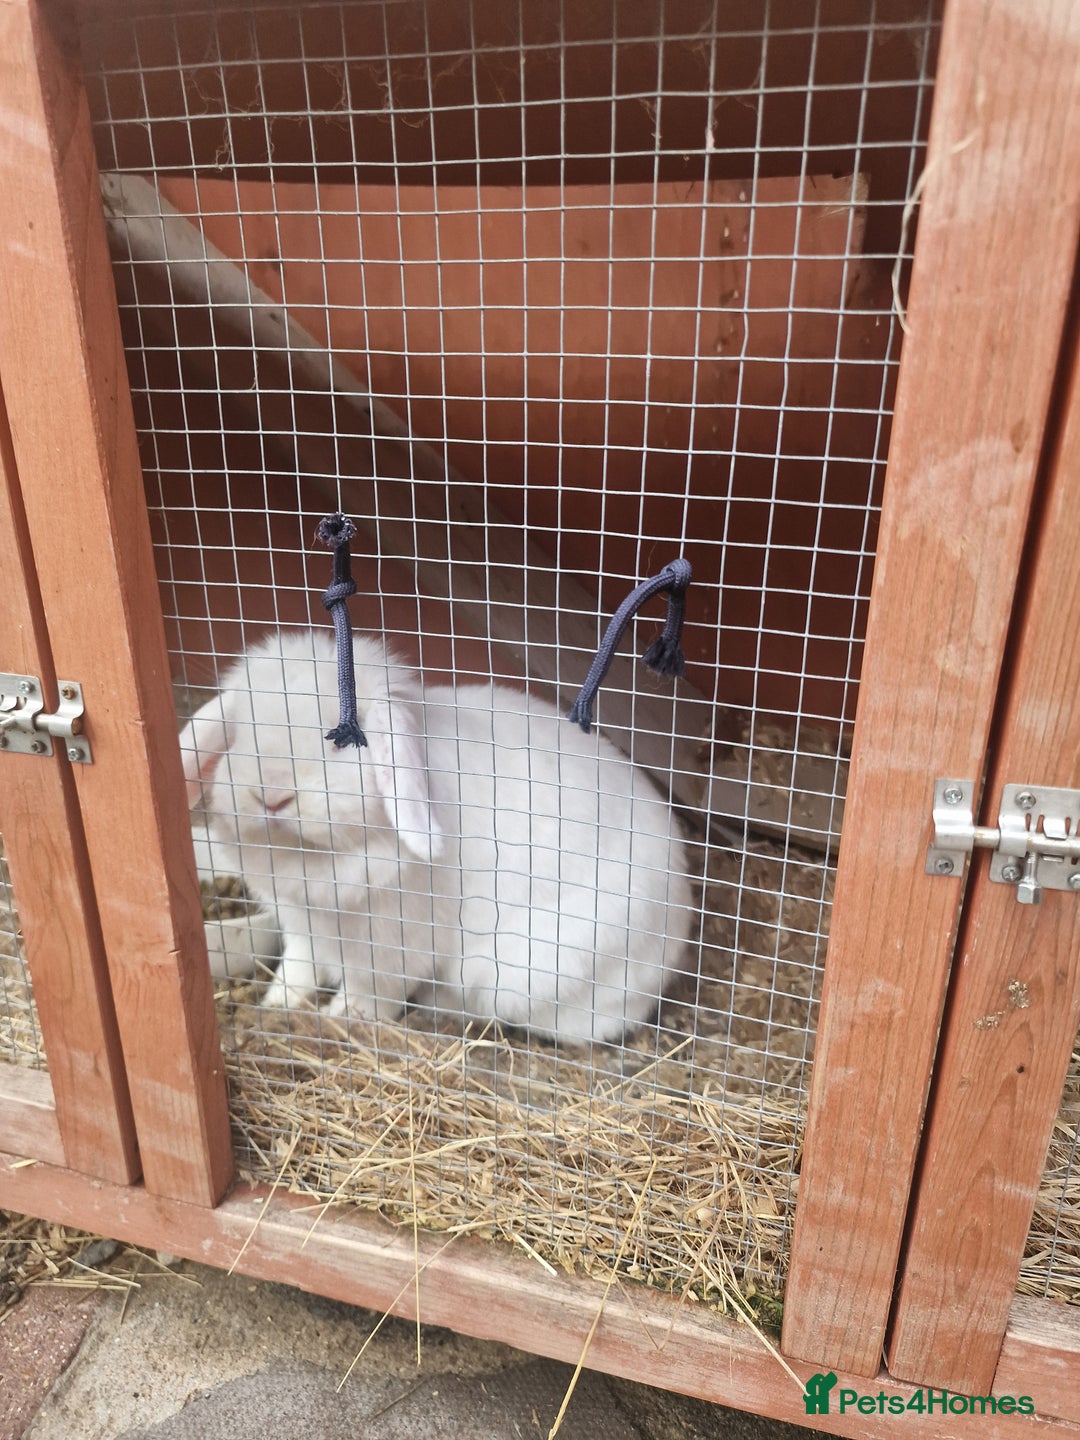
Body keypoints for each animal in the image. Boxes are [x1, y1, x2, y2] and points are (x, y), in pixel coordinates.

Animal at [179, 627, 693, 1044]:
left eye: (345, 739)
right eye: (239, 732)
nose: (270, 794)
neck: (312, 856)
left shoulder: (393, 945)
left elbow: (372, 990)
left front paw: (342, 1017)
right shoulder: (301, 926)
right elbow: (298, 968)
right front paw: (277, 1004)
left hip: (524, 973)